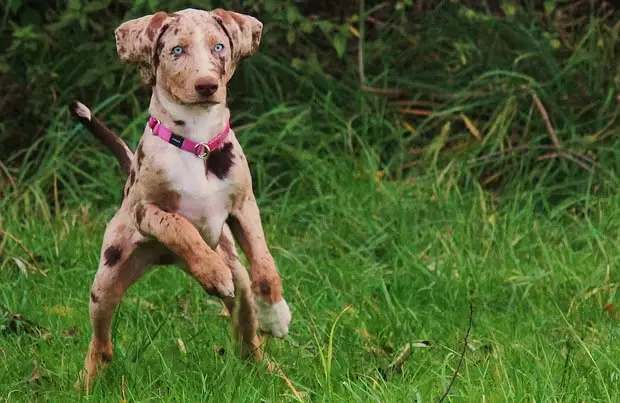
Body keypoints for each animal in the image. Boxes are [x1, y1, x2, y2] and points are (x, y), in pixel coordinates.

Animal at [69, 7, 292, 392]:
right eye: (177, 50)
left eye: (219, 46)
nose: (207, 85)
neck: (197, 140)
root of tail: (165, 261)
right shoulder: (145, 211)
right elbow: (178, 226)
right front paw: (211, 270)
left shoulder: (244, 207)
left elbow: (264, 264)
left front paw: (276, 315)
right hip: (107, 278)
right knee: (100, 341)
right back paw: (87, 382)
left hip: (239, 284)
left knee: (247, 339)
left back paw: (272, 374)